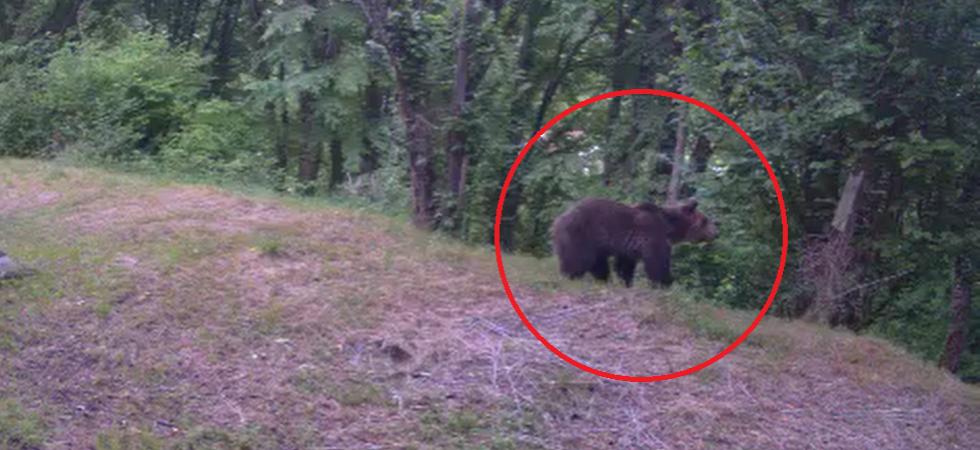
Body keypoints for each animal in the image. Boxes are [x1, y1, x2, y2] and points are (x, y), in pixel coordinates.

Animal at [550, 197, 717, 288]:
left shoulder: (629, 248)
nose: (716, 233)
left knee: (599, 264)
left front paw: (627, 283)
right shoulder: (653, 236)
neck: (671, 227)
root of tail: (559, 218)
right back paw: (570, 277)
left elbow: (625, 266)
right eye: (706, 220)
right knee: (579, 259)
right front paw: (665, 282)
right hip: (582, 234)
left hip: (596, 245)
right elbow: (657, 262)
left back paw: (604, 280)